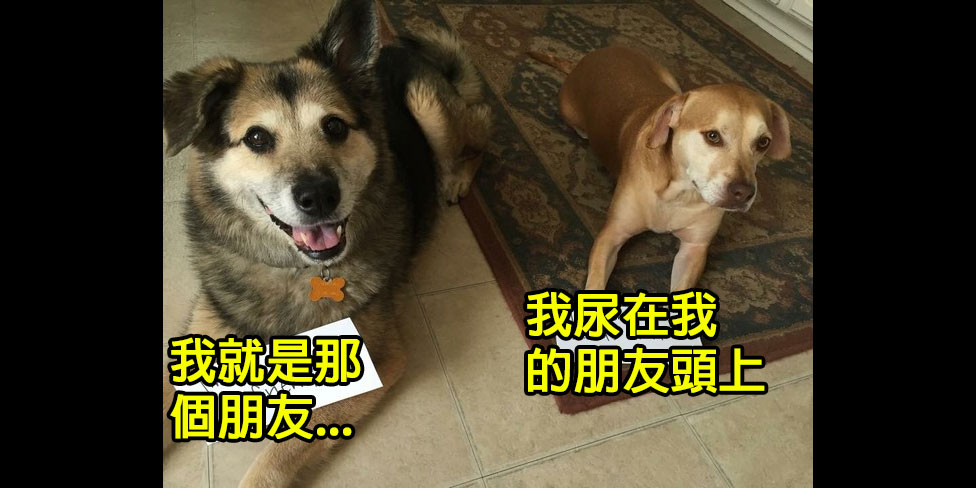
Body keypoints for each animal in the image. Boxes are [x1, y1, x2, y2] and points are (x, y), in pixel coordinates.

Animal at [161, 0, 490, 485]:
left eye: (334, 126)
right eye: (256, 138)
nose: (319, 196)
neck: (293, 270)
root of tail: (395, 49)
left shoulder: (373, 363)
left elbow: (275, 459)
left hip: (428, 106)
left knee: (478, 140)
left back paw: (453, 180)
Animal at [529, 46, 791, 292]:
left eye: (763, 142)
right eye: (713, 136)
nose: (743, 193)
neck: (679, 192)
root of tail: (593, 55)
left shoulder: (694, 249)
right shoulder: (611, 234)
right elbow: (595, 284)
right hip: (569, 110)